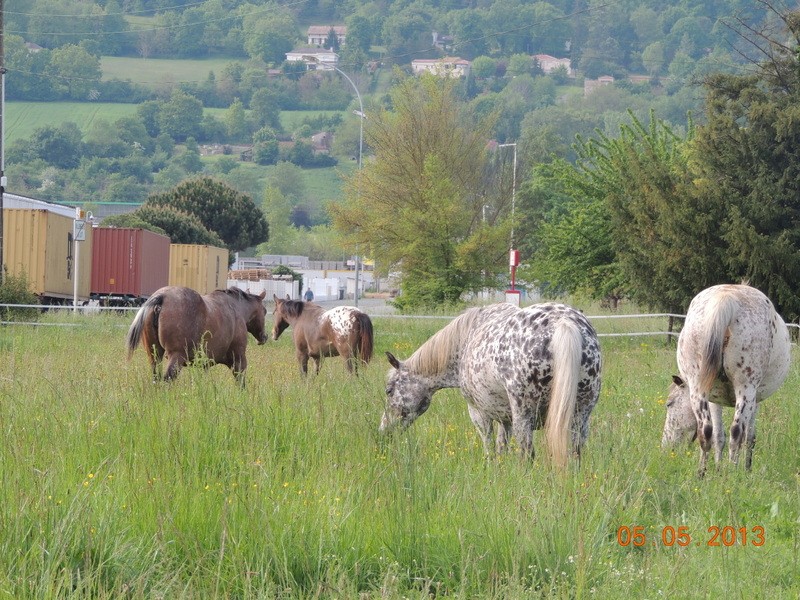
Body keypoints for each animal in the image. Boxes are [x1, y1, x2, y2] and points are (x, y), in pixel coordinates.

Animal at [126, 284, 268, 384]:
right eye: (265, 311)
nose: (264, 337)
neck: (235, 308)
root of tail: (162, 297)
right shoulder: (239, 359)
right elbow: (241, 382)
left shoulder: (204, 364)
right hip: (176, 357)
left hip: (154, 356)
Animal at [380, 302, 600, 466]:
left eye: (389, 390)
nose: (384, 431)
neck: (467, 339)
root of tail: (563, 322)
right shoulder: (505, 418)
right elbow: (502, 445)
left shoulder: (479, 413)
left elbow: (489, 447)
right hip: (580, 416)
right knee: (575, 452)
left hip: (524, 415)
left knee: (527, 453)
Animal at [664, 284, 788, 476]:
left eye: (669, 404)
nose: (666, 445)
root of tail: (727, 299)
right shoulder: (753, 400)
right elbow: (748, 437)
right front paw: (745, 469)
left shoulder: (715, 398)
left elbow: (719, 436)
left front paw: (719, 468)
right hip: (745, 389)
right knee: (736, 433)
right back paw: (732, 474)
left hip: (700, 389)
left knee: (706, 431)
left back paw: (702, 474)